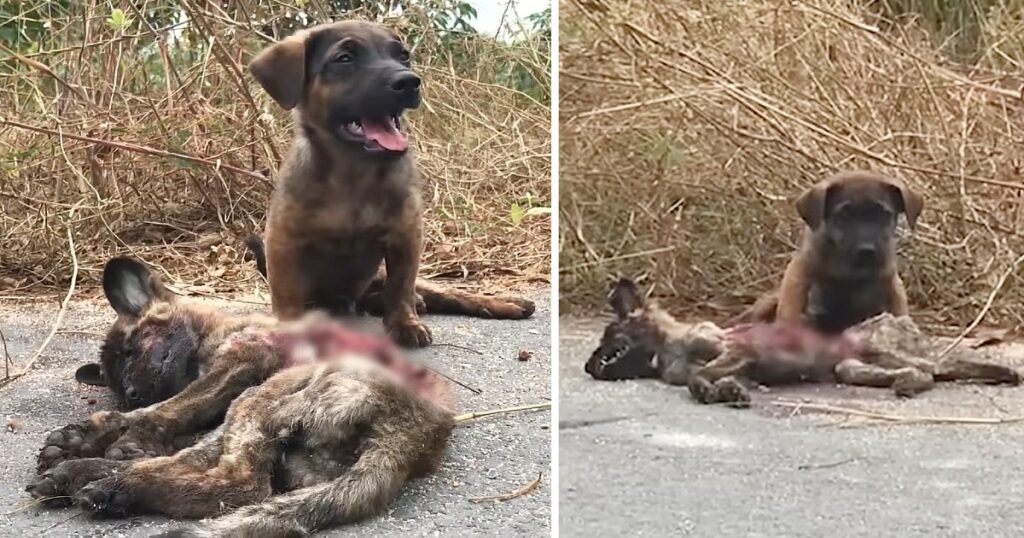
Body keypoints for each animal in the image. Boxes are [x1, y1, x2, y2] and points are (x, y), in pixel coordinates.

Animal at [248, 21, 536, 346]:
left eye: (403, 56)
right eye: (344, 59)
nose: (409, 82)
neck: (353, 173)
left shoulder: (406, 235)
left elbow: (401, 287)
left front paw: (404, 323)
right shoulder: (283, 241)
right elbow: (287, 295)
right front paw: (289, 329)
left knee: (440, 292)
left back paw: (505, 303)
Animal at [733, 171, 925, 332]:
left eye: (883, 214)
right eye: (844, 215)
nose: (867, 250)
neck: (851, 275)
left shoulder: (891, 290)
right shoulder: (799, 280)